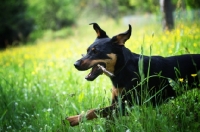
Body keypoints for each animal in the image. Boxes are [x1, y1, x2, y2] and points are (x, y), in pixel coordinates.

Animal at [66, 23, 200, 126]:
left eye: (96, 52)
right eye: (88, 50)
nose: (75, 64)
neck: (123, 68)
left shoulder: (127, 105)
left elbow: (94, 111)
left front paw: (75, 119)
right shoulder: (116, 104)